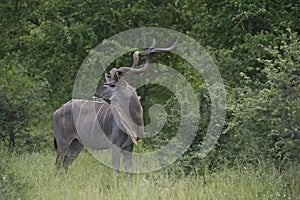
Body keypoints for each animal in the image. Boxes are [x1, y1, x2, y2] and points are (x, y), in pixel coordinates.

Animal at [53, 38, 178, 177]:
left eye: (112, 84)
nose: (95, 94)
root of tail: (57, 111)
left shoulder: (129, 147)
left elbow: (128, 172)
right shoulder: (115, 146)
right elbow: (116, 173)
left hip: (77, 143)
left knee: (65, 165)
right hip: (63, 142)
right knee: (57, 166)